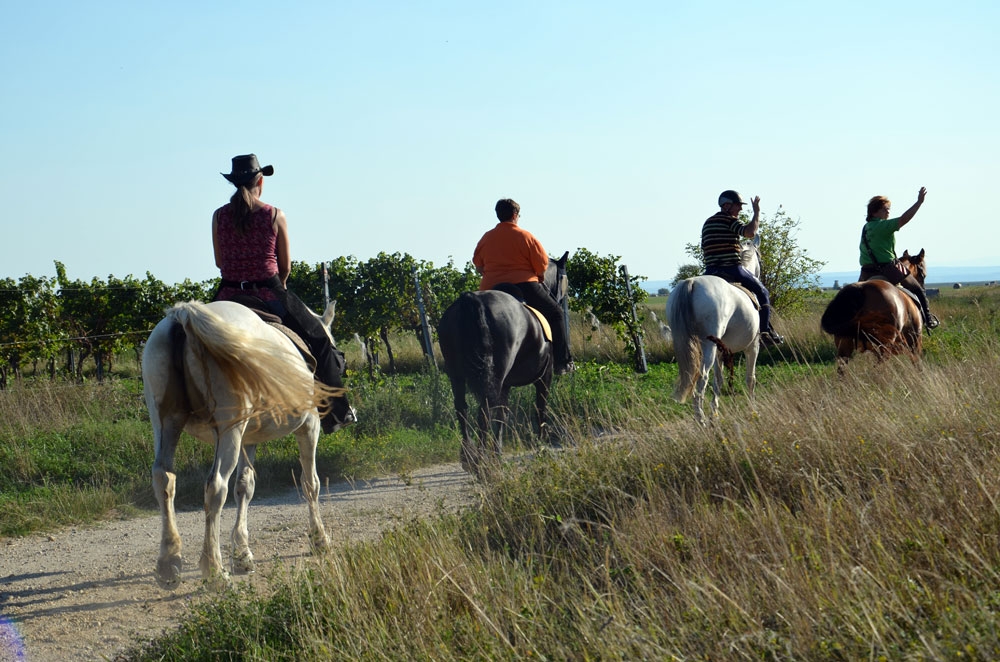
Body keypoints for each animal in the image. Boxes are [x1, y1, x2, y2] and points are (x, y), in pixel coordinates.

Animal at [440, 252, 572, 474]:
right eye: (565, 281)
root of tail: (471, 299)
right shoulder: (544, 376)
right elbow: (540, 407)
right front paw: (541, 444)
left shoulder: (506, 384)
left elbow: (502, 414)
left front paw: (497, 453)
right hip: (494, 373)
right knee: (483, 409)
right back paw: (480, 461)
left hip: (456, 374)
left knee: (462, 408)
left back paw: (469, 457)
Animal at [668, 240, 760, 426]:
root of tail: (691, 282)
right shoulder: (753, 347)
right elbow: (750, 378)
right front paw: (753, 408)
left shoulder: (722, 351)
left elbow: (719, 380)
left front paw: (714, 413)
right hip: (709, 347)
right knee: (702, 378)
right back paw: (700, 419)